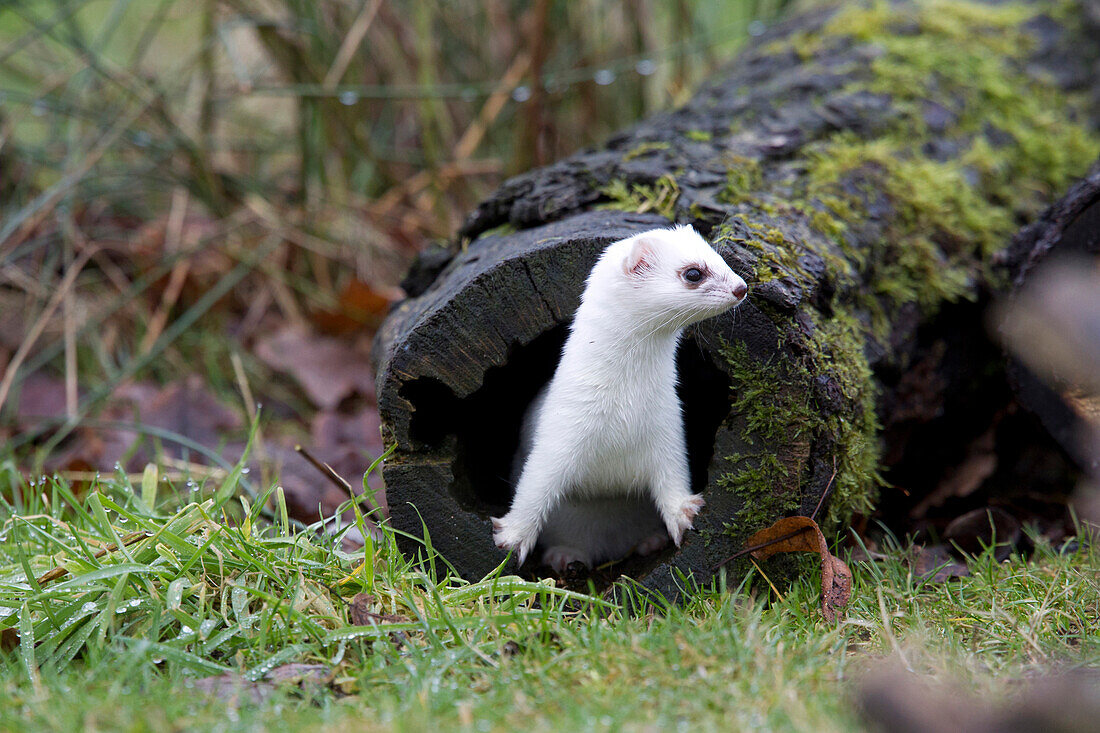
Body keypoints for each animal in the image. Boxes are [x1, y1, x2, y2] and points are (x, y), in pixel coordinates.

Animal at [490, 225, 748, 567]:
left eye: (720, 258)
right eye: (693, 273)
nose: (742, 287)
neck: (625, 405)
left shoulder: (667, 426)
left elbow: (672, 476)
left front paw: (683, 514)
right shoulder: (560, 429)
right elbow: (534, 488)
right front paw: (512, 537)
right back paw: (564, 556)